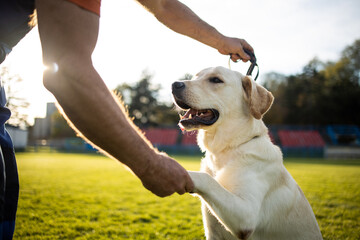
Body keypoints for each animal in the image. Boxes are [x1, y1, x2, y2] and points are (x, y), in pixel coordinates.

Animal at [172, 66, 324, 240]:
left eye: (216, 79)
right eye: (195, 76)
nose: (174, 84)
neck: (225, 150)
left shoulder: (246, 215)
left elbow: (207, 178)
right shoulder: (213, 232)